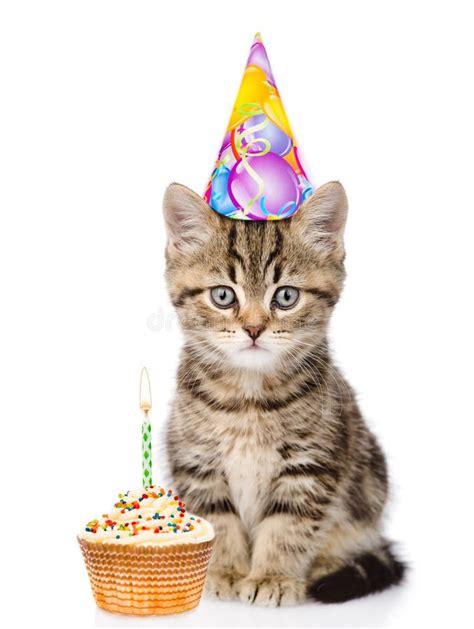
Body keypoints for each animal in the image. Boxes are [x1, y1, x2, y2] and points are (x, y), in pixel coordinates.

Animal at [162, 180, 404, 604]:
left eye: (286, 296)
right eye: (223, 296)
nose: (254, 328)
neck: (248, 398)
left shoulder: (311, 465)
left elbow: (288, 526)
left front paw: (272, 576)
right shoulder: (196, 460)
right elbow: (219, 520)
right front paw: (223, 571)